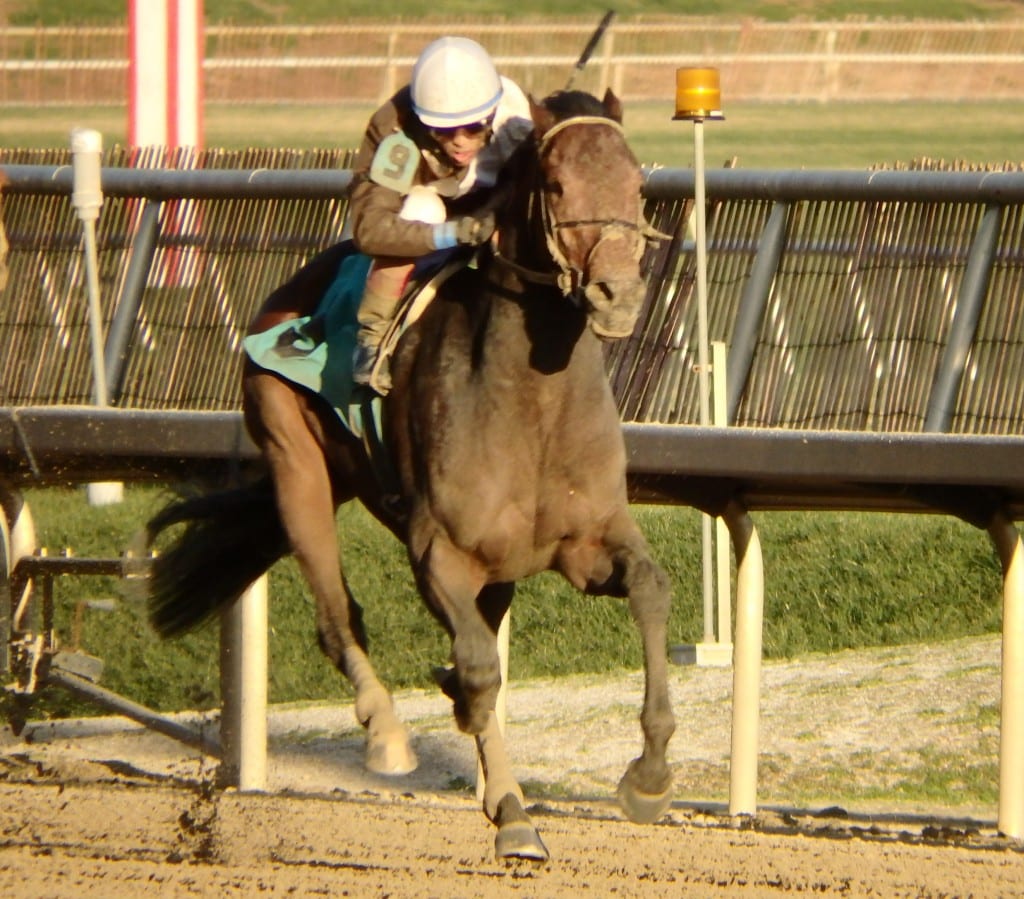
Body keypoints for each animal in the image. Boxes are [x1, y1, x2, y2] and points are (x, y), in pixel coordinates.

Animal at [142, 88, 671, 864]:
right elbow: (478, 670)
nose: (617, 295)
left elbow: (649, 591)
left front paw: (650, 776)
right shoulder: (439, 553)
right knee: (339, 620)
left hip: (494, 570)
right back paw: (389, 736)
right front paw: (511, 807)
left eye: (637, 184)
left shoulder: (589, 541)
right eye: (555, 185)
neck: (534, 403)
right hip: (296, 465)